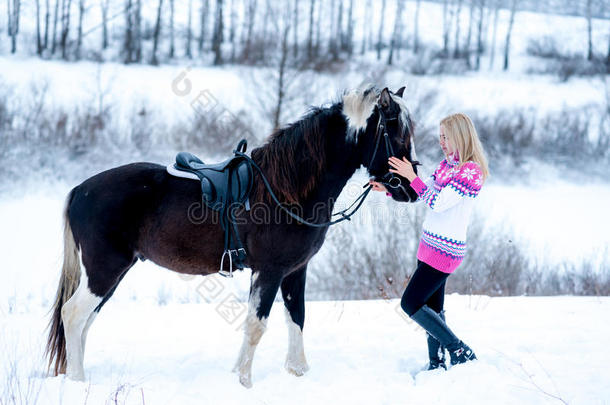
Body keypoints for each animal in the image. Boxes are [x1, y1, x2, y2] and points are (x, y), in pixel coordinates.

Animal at [44, 84, 418, 386]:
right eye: (397, 134)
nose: (411, 189)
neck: (285, 189)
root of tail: (80, 190)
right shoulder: (268, 272)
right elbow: (256, 326)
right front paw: (242, 381)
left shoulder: (295, 272)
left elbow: (297, 318)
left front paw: (298, 373)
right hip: (104, 270)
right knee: (73, 316)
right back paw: (77, 382)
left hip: (110, 274)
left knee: (84, 322)